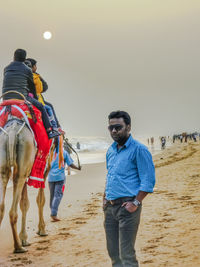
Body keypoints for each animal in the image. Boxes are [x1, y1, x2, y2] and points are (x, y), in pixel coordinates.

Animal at [0, 93, 54, 254]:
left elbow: (24, 202)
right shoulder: (44, 169)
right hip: (26, 157)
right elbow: (40, 199)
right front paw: (41, 230)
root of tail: (12, 130)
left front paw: (24, 238)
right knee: (12, 210)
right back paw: (18, 247)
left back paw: (18, 244)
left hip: (6, 163)